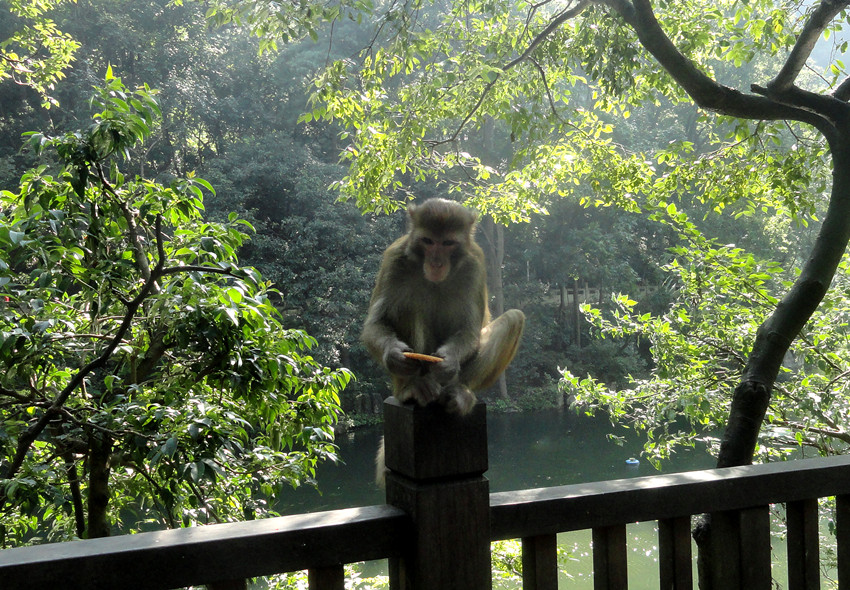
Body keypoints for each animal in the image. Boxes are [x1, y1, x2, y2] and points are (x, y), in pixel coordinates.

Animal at [362, 199, 524, 420]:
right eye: (428, 241)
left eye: (447, 243)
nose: (436, 263)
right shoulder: (394, 259)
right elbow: (377, 322)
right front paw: (393, 354)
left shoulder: (475, 265)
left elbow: (469, 329)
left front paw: (449, 361)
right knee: (409, 306)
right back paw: (412, 387)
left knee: (514, 318)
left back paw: (461, 391)